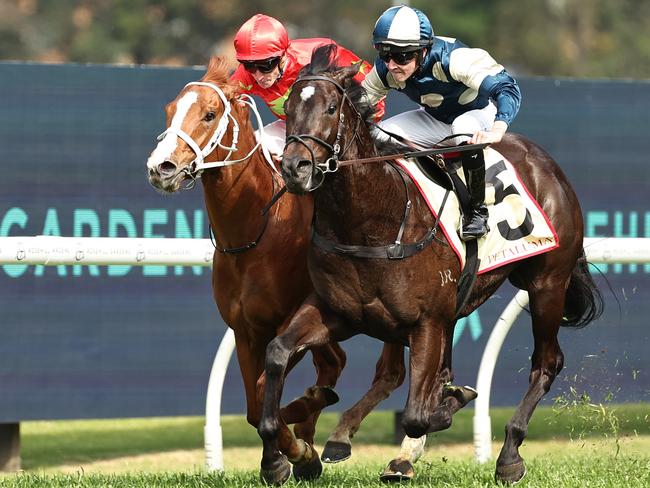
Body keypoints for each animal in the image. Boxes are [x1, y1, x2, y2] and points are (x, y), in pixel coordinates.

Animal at [146, 57, 408, 480]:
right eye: (170, 111)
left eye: (209, 114)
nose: (161, 167)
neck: (255, 231)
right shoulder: (245, 330)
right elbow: (255, 407)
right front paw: (286, 456)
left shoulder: (292, 319)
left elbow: (267, 388)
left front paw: (291, 452)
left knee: (382, 369)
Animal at [256, 45, 600, 484]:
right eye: (288, 110)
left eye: (331, 107)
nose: (295, 168)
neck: (373, 222)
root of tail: (547, 164)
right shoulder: (338, 313)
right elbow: (277, 354)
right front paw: (280, 454)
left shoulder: (427, 322)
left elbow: (419, 415)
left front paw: (445, 410)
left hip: (547, 284)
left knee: (546, 363)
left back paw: (508, 455)